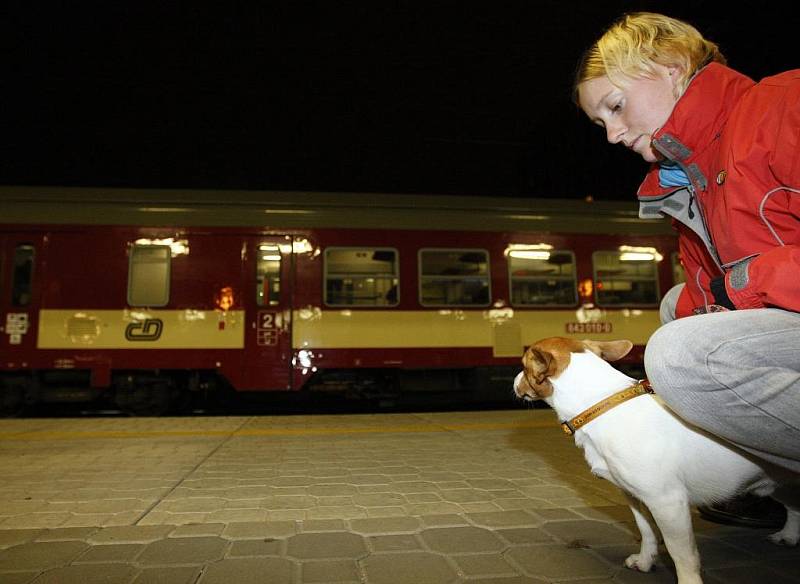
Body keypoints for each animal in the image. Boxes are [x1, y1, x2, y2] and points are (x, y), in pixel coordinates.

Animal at [516, 338, 796, 584]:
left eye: (524, 366)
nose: (515, 379)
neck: (602, 404)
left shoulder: (668, 503)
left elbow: (682, 555)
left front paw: (687, 580)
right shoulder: (635, 496)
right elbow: (646, 530)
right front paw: (645, 561)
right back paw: (789, 536)